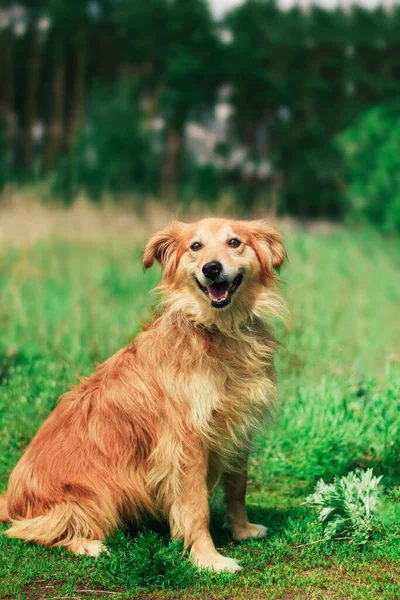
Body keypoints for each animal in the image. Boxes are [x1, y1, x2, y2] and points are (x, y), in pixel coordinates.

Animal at [0, 218, 288, 576]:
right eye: (195, 246)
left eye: (234, 242)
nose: (211, 268)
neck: (220, 330)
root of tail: (10, 499)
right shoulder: (186, 443)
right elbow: (196, 507)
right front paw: (208, 559)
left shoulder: (238, 427)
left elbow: (238, 486)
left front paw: (242, 529)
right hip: (94, 495)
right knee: (32, 529)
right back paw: (87, 544)